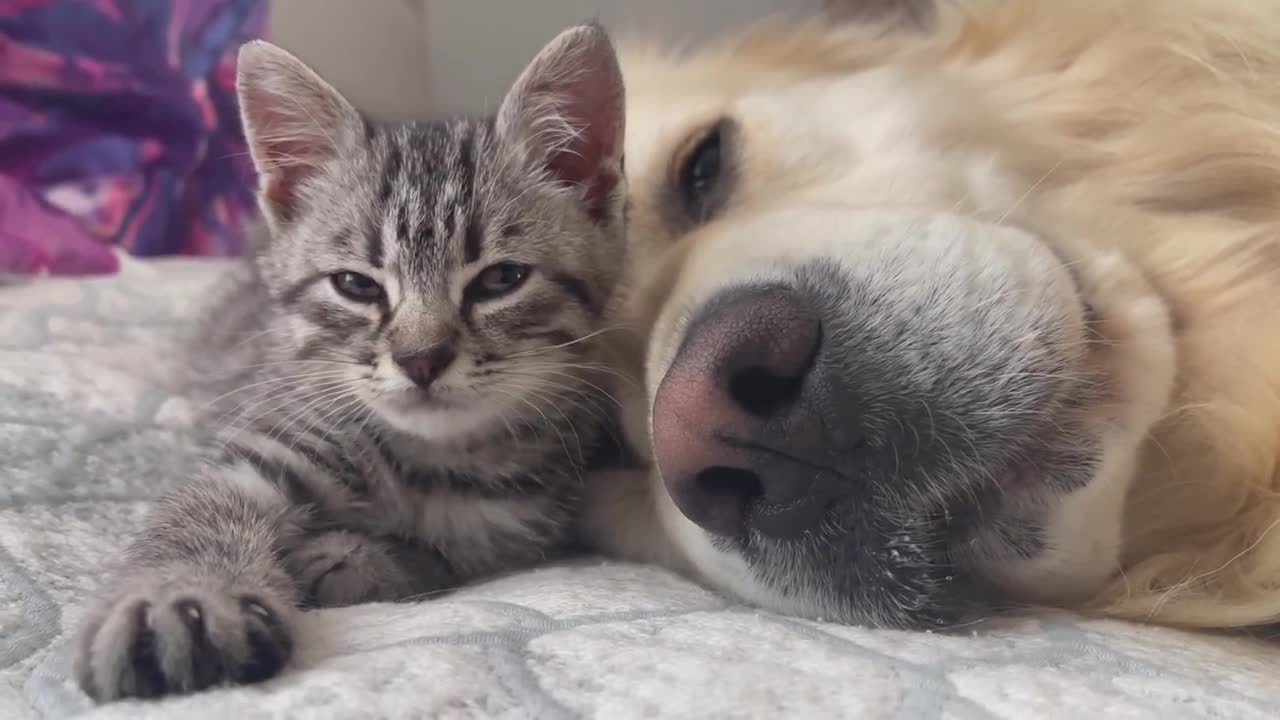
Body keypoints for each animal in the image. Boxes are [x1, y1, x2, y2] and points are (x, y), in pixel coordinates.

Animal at [71, 23, 629, 702]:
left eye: (501, 280)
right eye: (356, 286)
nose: (421, 359)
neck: (424, 458)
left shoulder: (509, 528)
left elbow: (428, 556)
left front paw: (346, 555)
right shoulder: (272, 439)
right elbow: (198, 510)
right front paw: (176, 599)